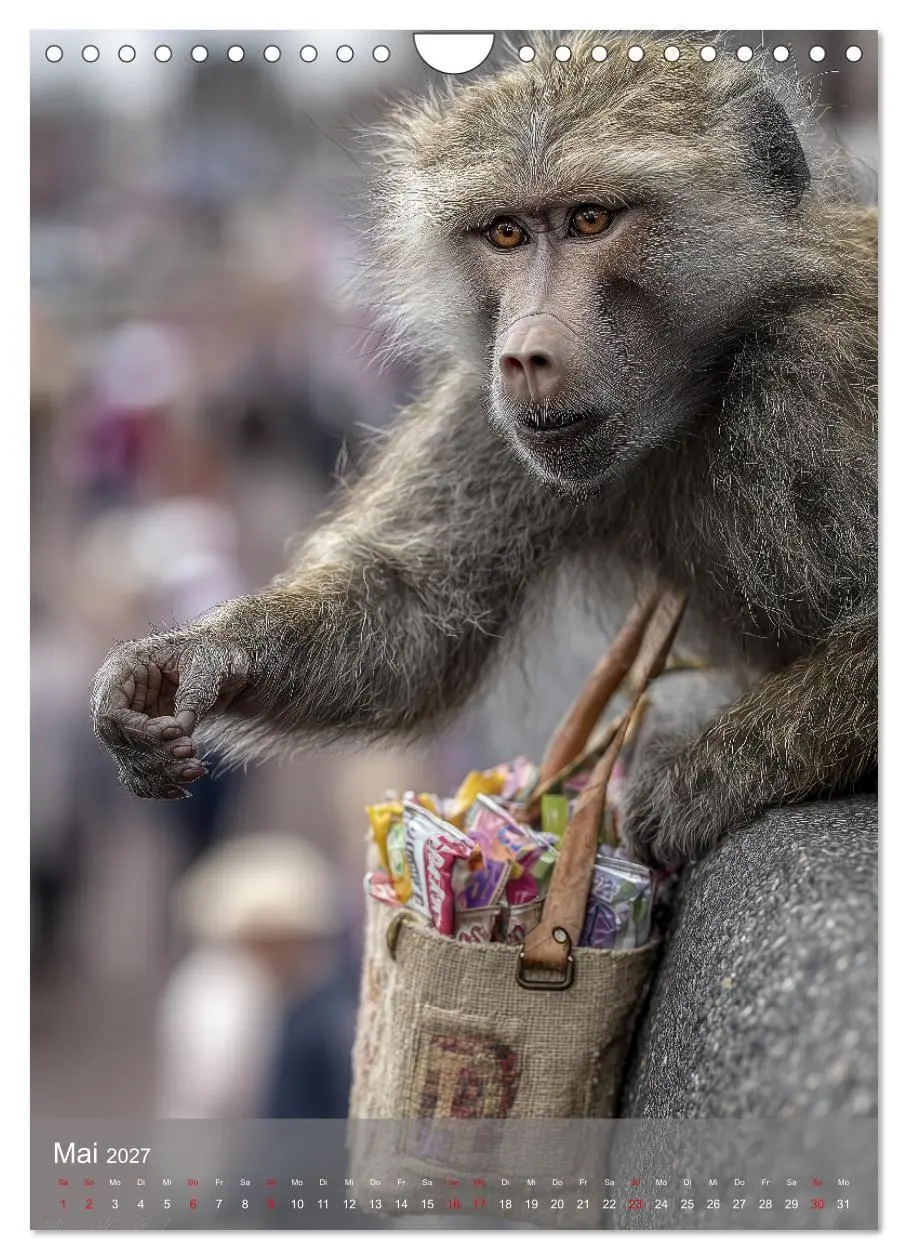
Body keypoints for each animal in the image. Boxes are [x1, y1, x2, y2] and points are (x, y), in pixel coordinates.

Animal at [89, 32, 877, 868]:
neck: (717, 374)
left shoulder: (830, 370)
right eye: (506, 233)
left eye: (590, 219)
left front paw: (703, 776)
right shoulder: (486, 409)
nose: (525, 355)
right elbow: (419, 613)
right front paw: (187, 660)